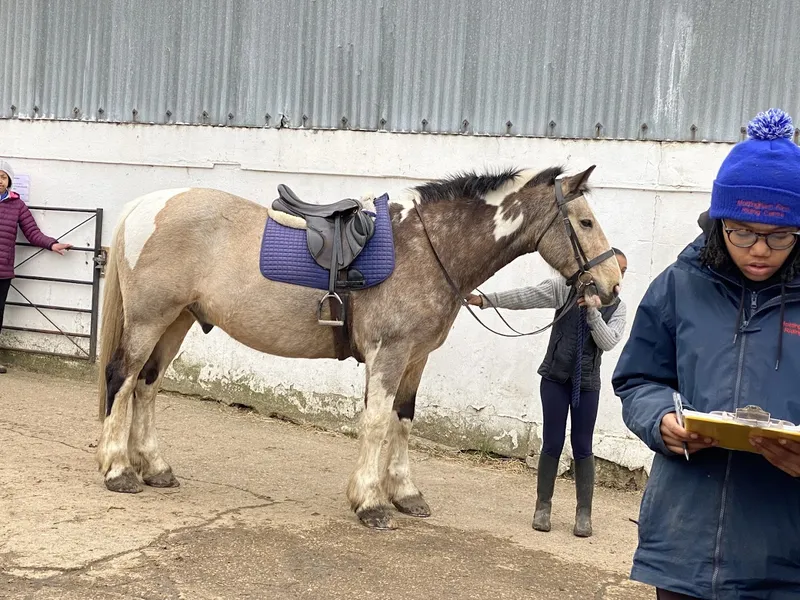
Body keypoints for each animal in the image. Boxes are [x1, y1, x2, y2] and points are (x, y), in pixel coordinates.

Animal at [94, 164, 620, 528]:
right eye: (585, 222)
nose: (613, 283)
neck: (428, 247)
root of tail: (147, 205)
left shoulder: (415, 358)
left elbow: (403, 421)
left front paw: (405, 494)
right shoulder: (388, 354)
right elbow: (375, 423)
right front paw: (369, 502)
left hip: (176, 322)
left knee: (146, 387)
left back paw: (155, 467)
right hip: (149, 320)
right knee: (123, 380)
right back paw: (119, 471)